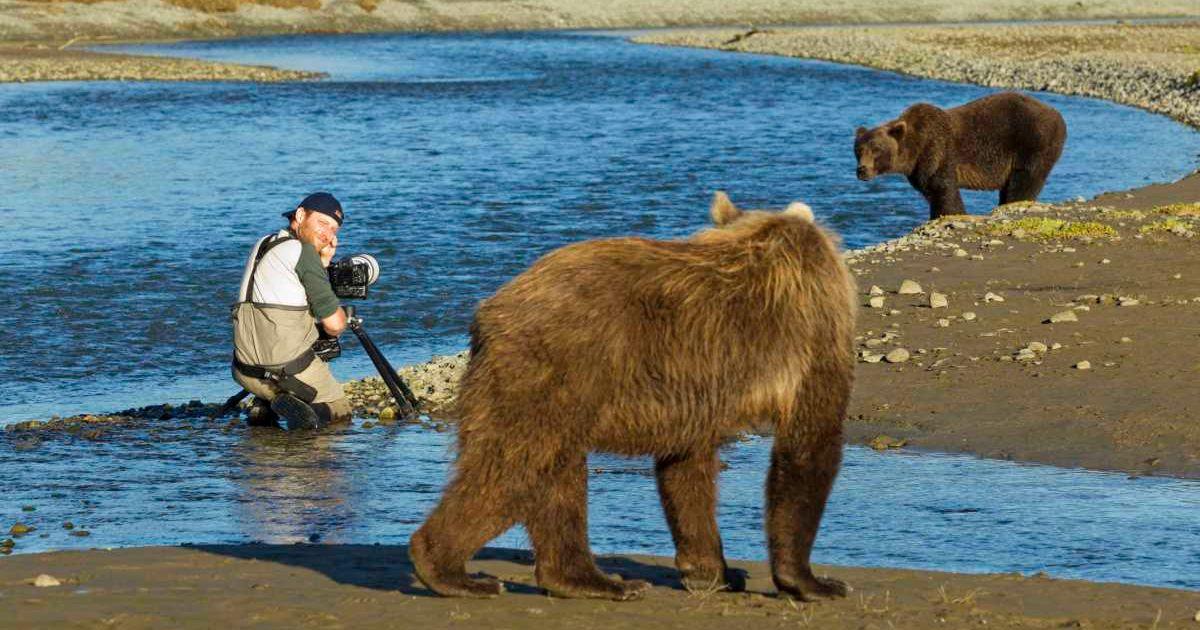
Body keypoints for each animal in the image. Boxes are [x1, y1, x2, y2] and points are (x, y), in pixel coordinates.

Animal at [409, 191, 857, 602]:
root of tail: (487, 312)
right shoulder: (812, 335)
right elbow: (809, 446)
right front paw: (813, 582)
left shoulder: (693, 394)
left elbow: (686, 470)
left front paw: (711, 571)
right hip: (551, 372)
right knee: (515, 465)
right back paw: (454, 572)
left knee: (556, 474)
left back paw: (591, 581)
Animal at [854, 91, 1067, 220]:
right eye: (858, 150)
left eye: (876, 149)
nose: (862, 170)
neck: (915, 149)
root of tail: (1058, 115)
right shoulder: (918, 168)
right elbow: (929, 191)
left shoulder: (937, 152)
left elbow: (944, 190)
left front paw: (950, 214)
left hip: (1032, 142)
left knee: (1024, 179)